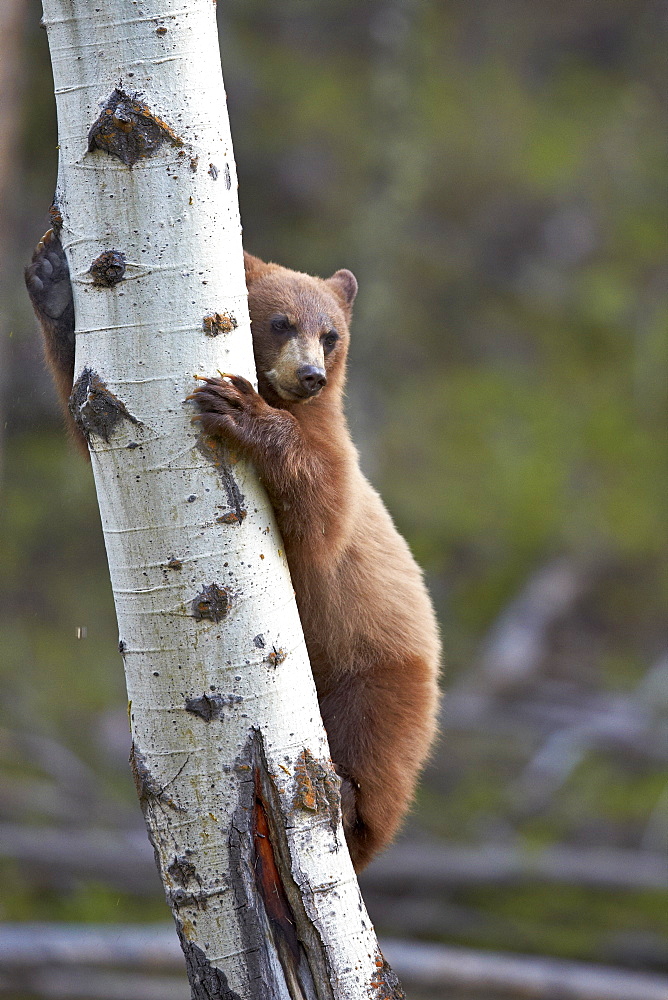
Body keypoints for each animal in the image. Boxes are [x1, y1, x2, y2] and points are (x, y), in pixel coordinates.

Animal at [26, 230, 440, 872]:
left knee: (378, 751)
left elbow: (321, 513)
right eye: (278, 321)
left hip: (381, 675)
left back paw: (348, 801)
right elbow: (92, 412)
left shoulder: (339, 462)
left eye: (331, 333)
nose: (311, 375)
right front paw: (52, 283)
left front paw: (243, 410)